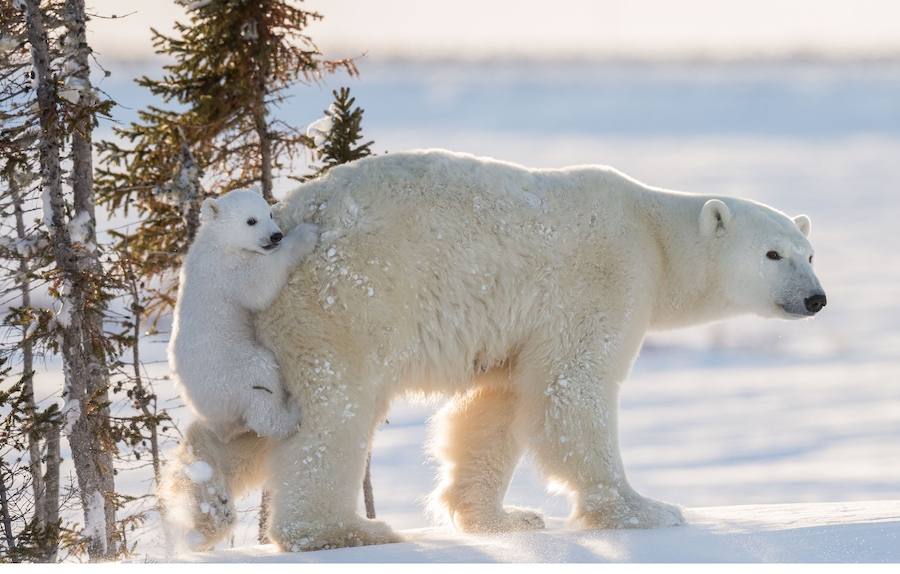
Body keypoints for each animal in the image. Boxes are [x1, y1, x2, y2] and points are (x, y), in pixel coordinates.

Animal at [167, 191, 318, 444]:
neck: (217, 241)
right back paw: (292, 411)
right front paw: (306, 233)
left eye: (269, 213)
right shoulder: (227, 271)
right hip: (234, 370)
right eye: (251, 220)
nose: (276, 235)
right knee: (261, 382)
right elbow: (259, 284)